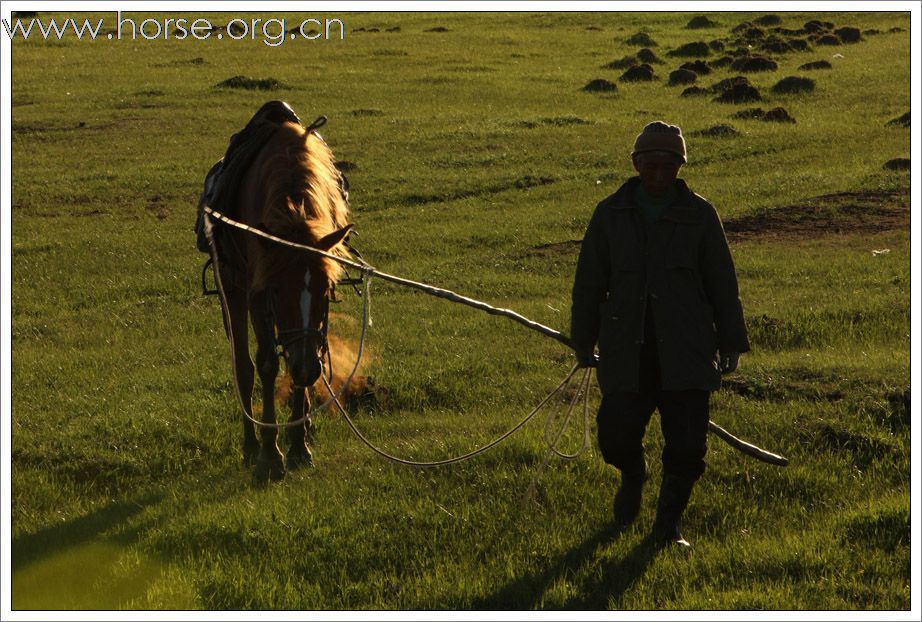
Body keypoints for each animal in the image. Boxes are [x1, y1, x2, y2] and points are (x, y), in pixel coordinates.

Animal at [203, 103, 350, 482]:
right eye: (277, 289)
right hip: (232, 289)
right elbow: (267, 364)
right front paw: (270, 456)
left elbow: (307, 352)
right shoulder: (257, 292)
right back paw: (251, 445)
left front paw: (299, 445)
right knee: (244, 366)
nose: (308, 370)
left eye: (326, 289)